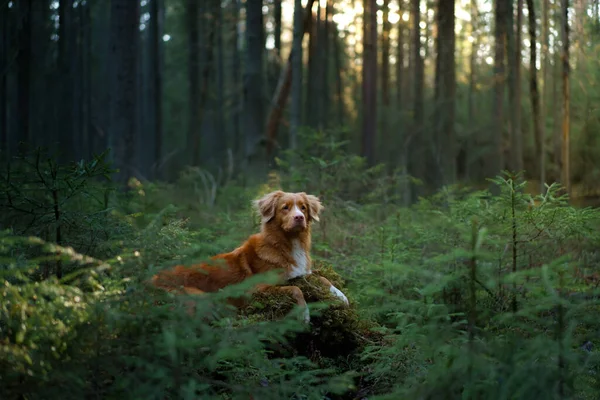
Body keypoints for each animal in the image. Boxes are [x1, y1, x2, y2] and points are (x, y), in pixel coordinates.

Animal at [150, 189, 350, 324]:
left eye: (303, 208)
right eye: (285, 208)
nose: (299, 217)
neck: (288, 245)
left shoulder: (299, 274)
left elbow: (322, 278)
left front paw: (342, 296)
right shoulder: (253, 289)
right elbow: (295, 289)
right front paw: (304, 314)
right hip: (196, 297)